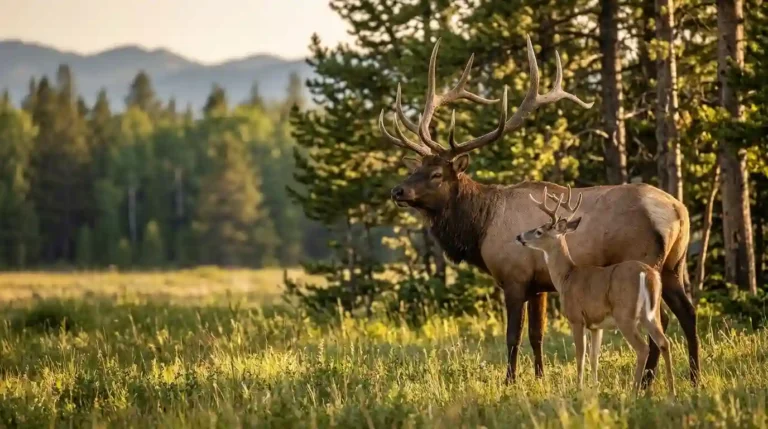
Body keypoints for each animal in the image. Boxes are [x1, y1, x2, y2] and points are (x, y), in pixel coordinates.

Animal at [515, 186, 675, 395]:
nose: (519, 236)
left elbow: (580, 355)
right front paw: (594, 387)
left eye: (539, 231)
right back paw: (672, 391)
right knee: (664, 342)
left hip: (625, 314)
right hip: (650, 313)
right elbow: (594, 357)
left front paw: (579, 387)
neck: (567, 277)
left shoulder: (576, 318)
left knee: (642, 348)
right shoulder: (596, 325)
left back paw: (634, 391)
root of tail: (648, 275)